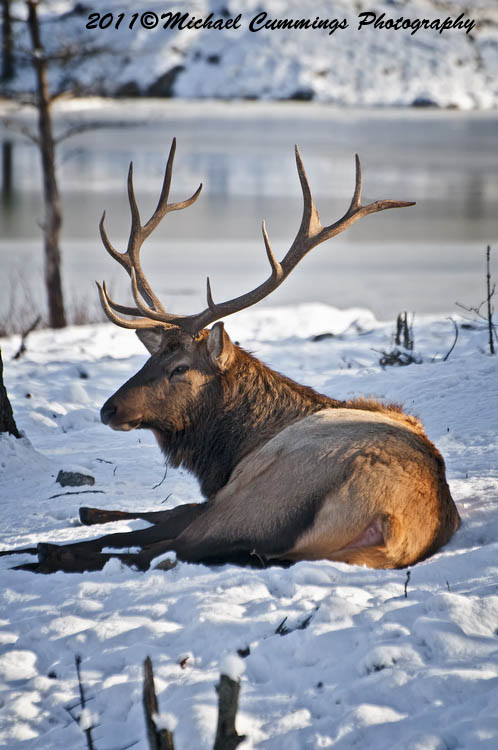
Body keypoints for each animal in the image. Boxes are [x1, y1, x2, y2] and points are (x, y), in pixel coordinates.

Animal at [6, 139, 460, 574]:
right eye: (148, 360)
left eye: (180, 368)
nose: (108, 409)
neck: (231, 448)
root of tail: (390, 525)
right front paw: (88, 512)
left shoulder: (226, 486)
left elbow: (161, 517)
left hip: (259, 493)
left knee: (160, 549)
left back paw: (44, 553)